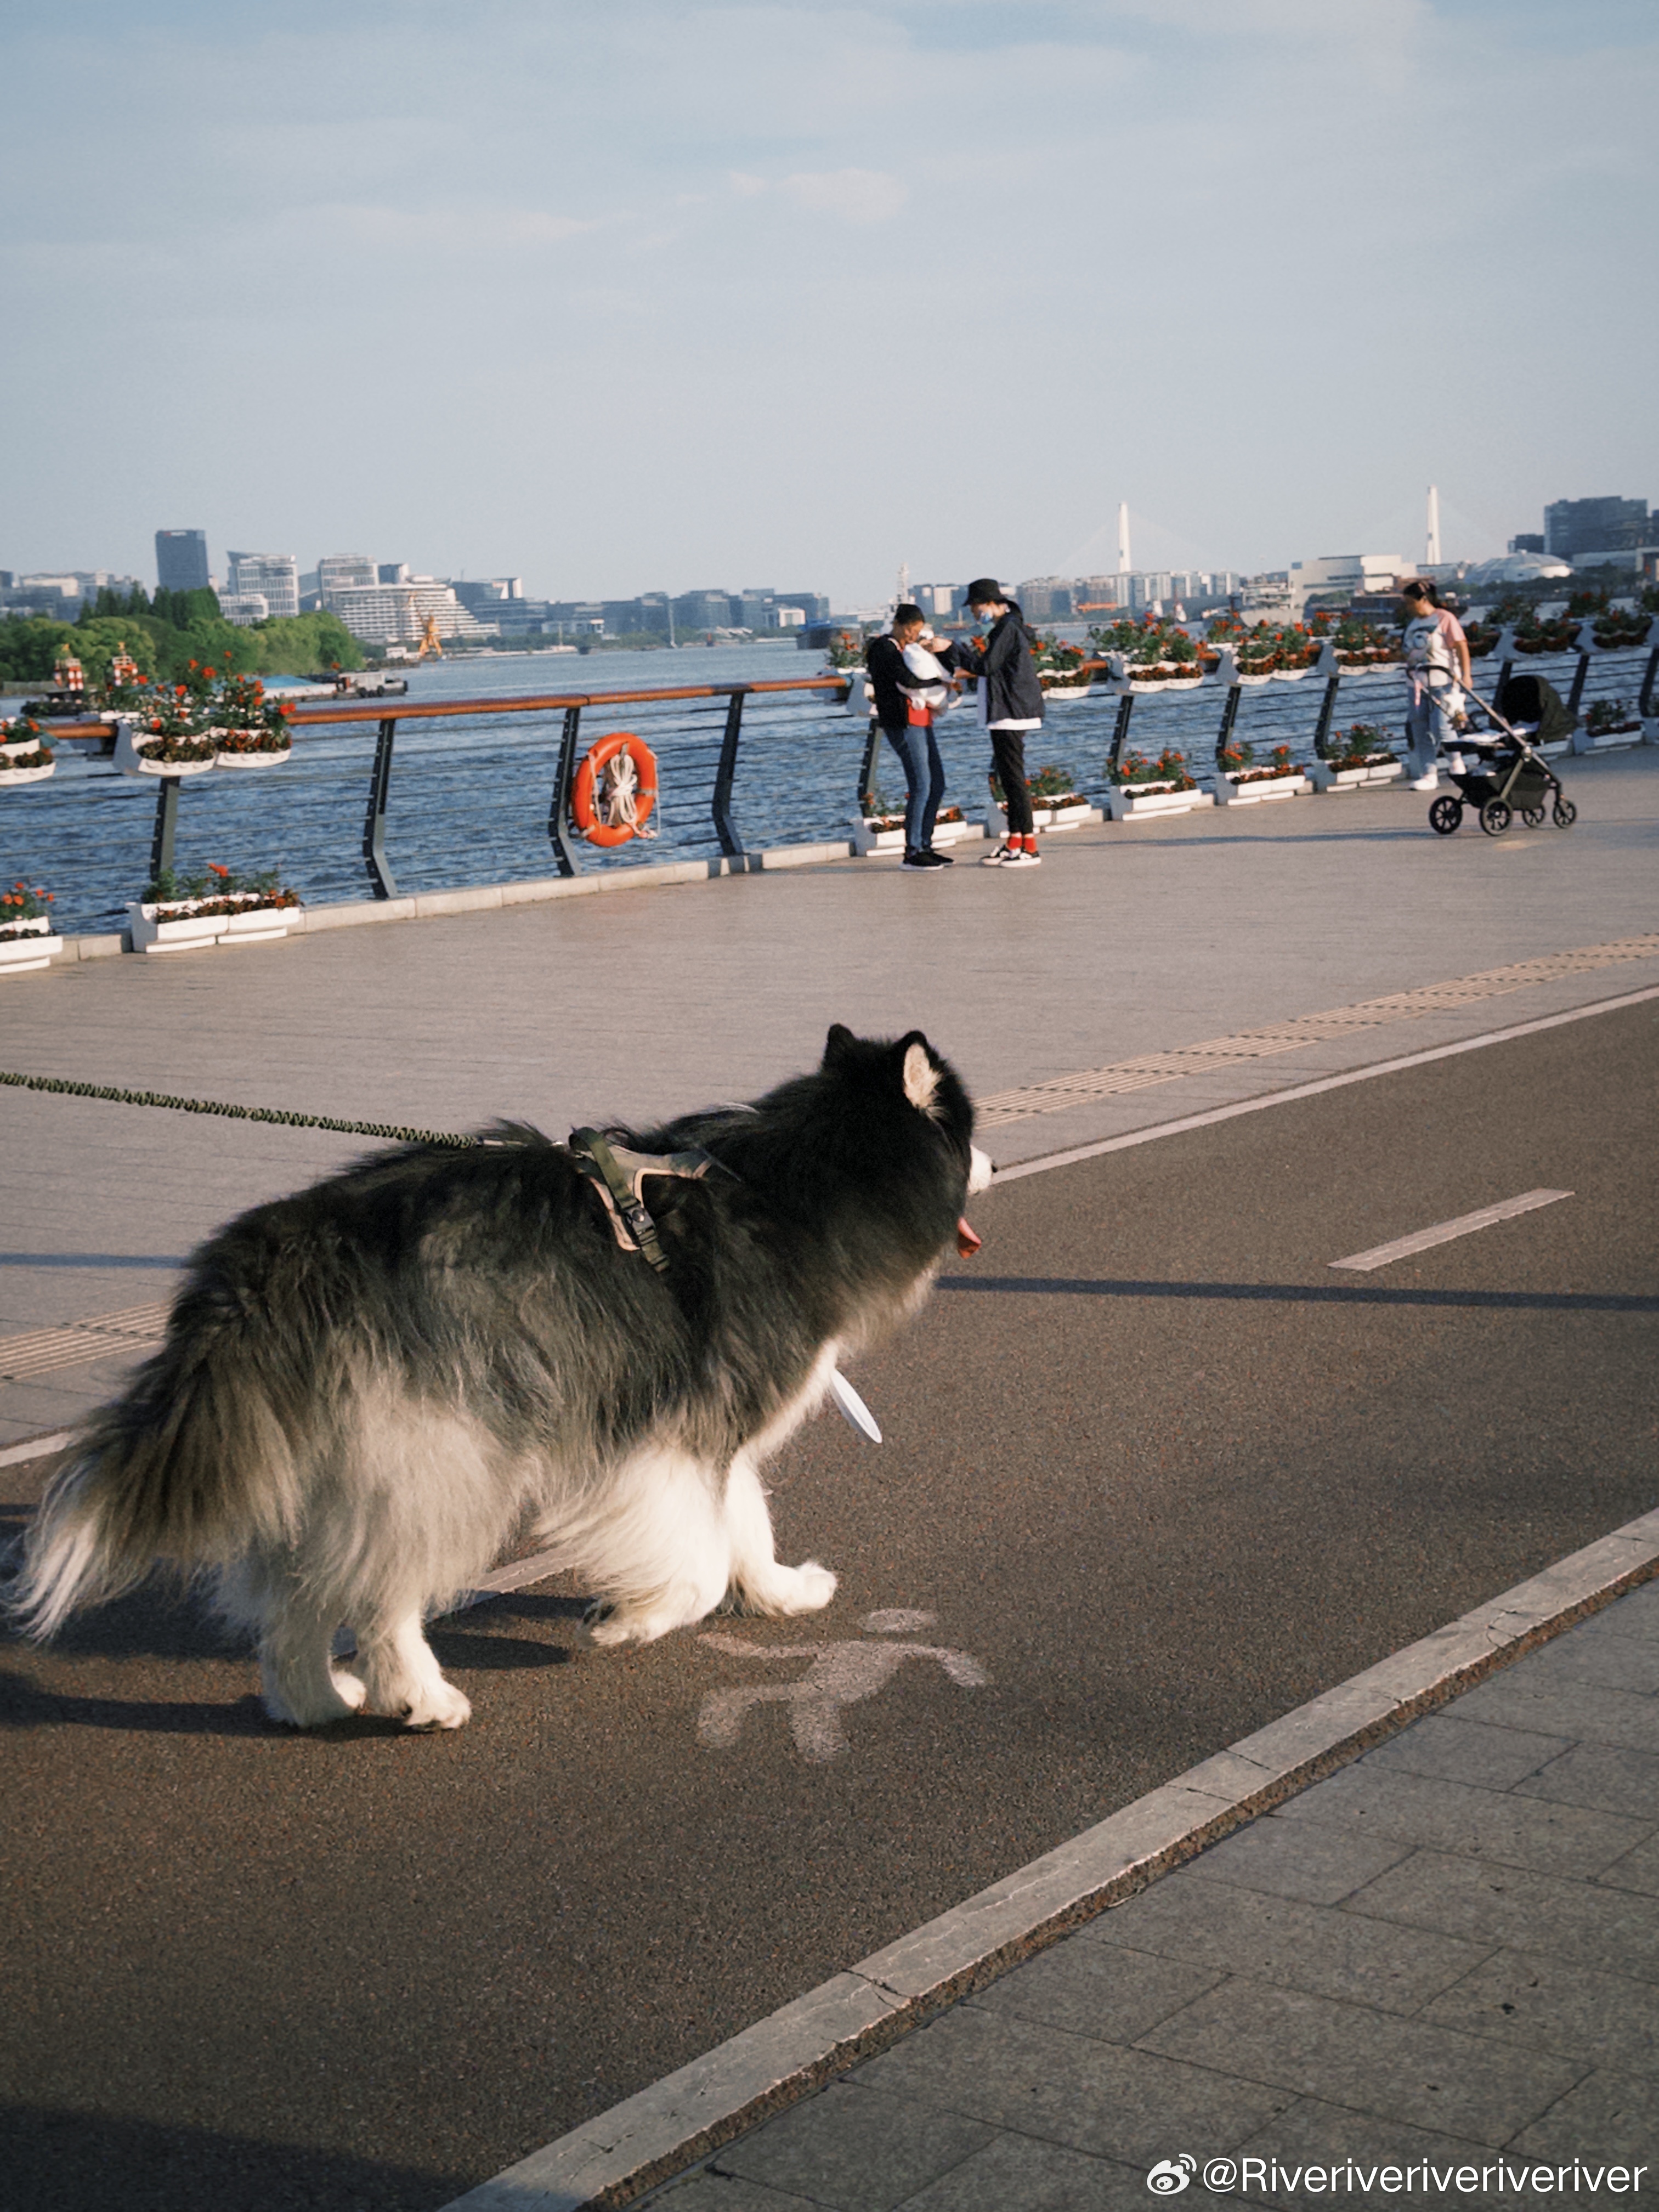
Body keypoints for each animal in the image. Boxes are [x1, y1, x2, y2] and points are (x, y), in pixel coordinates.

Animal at [9, 1026, 986, 1734]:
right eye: (969, 1132)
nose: (990, 1164)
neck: (796, 1186)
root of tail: (281, 1253)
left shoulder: (715, 1422)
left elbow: (744, 1523)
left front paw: (780, 1593)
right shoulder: (666, 1435)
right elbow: (701, 1559)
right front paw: (629, 1619)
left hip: (339, 1463)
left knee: (305, 1588)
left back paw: (311, 1700)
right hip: (446, 1453)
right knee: (379, 1592)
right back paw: (419, 1695)